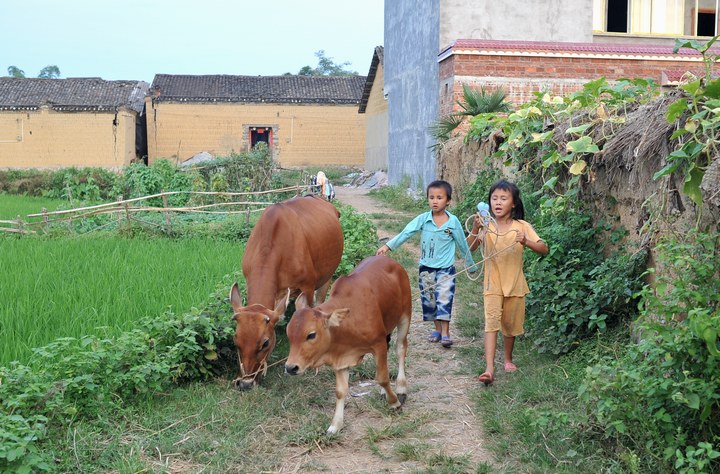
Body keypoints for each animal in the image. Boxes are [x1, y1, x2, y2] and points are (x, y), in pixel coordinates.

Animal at [286, 256, 414, 434]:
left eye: (311, 335)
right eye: (288, 333)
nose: (290, 368)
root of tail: (388, 259)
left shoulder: (378, 344)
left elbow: (382, 377)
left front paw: (394, 402)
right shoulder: (342, 359)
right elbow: (341, 391)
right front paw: (335, 425)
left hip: (405, 314)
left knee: (400, 348)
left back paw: (401, 388)